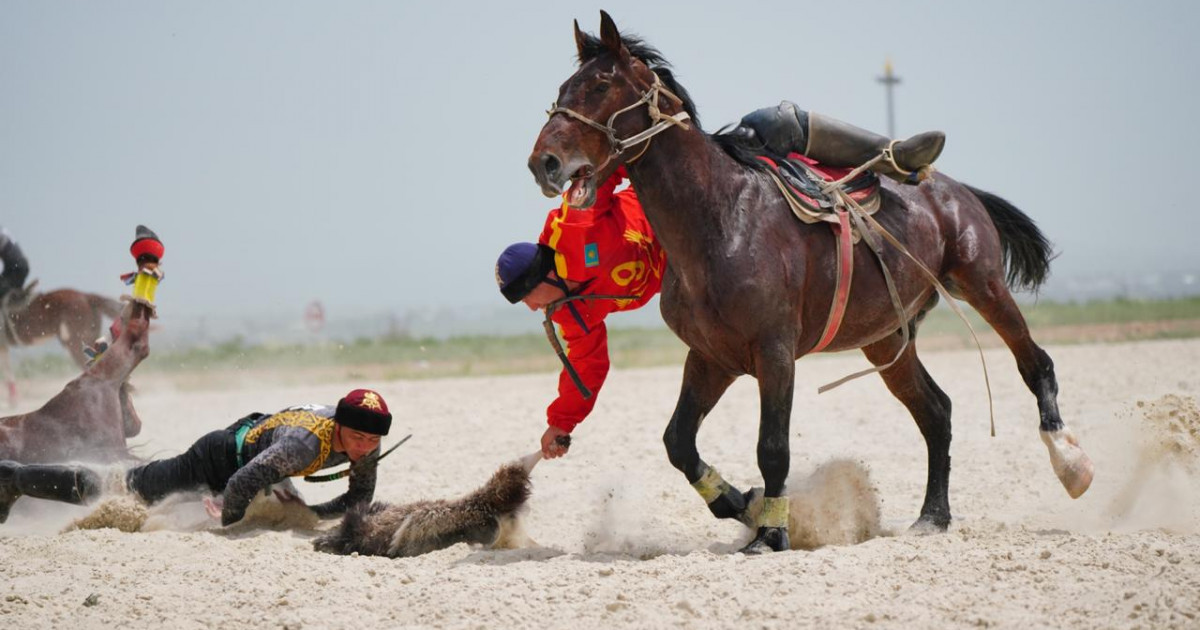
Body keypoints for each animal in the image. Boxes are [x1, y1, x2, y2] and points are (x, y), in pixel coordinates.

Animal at [530, 14, 1094, 552]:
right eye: (563, 87)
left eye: (601, 85)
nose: (544, 163)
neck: (722, 220)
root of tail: (956, 189)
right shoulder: (711, 357)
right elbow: (679, 442)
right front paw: (741, 504)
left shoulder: (775, 352)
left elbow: (772, 447)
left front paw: (772, 533)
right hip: (886, 338)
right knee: (936, 411)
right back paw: (933, 517)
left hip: (982, 282)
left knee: (1035, 363)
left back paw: (1070, 461)